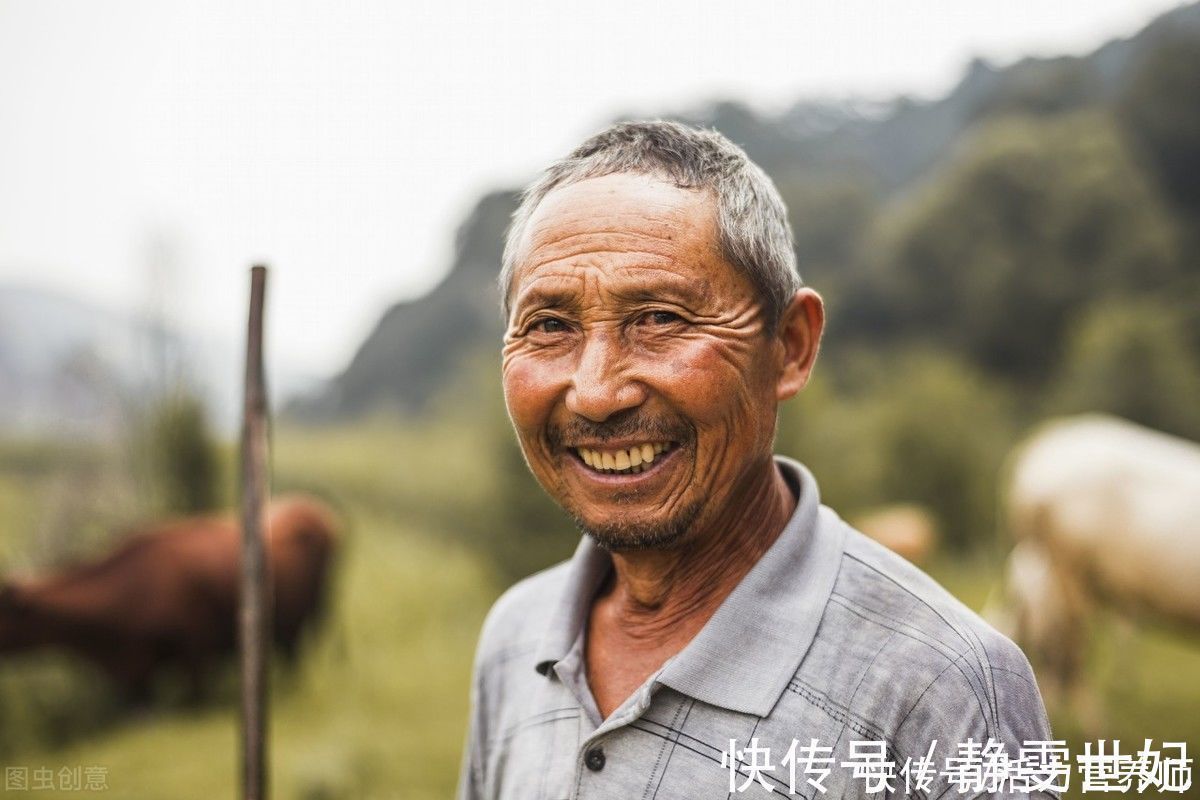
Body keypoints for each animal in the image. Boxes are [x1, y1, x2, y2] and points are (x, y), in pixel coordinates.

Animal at [0, 494, 340, 705]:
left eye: (6, 613)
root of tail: (317, 513)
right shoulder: (140, 674)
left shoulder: (196, 651)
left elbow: (195, 698)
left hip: (311, 612)